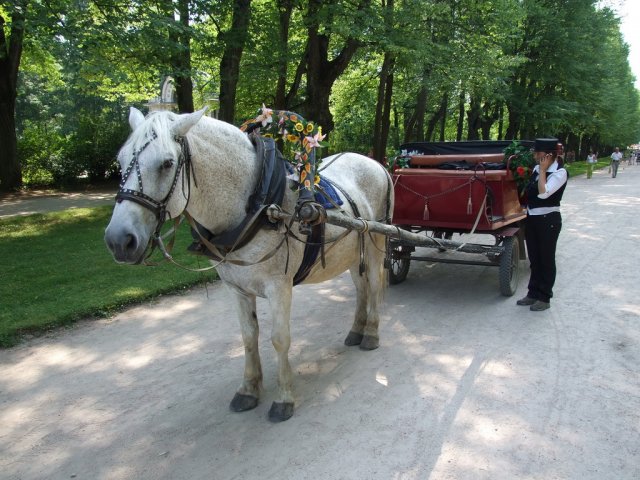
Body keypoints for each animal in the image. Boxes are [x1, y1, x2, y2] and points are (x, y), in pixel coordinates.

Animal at [105, 108, 392, 420]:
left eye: (167, 164)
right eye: (120, 161)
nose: (118, 241)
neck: (259, 206)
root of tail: (377, 164)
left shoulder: (279, 286)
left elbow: (279, 339)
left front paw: (284, 398)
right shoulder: (237, 288)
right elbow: (248, 337)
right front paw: (249, 389)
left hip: (375, 241)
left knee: (373, 285)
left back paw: (371, 333)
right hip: (351, 252)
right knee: (361, 287)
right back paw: (356, 330)